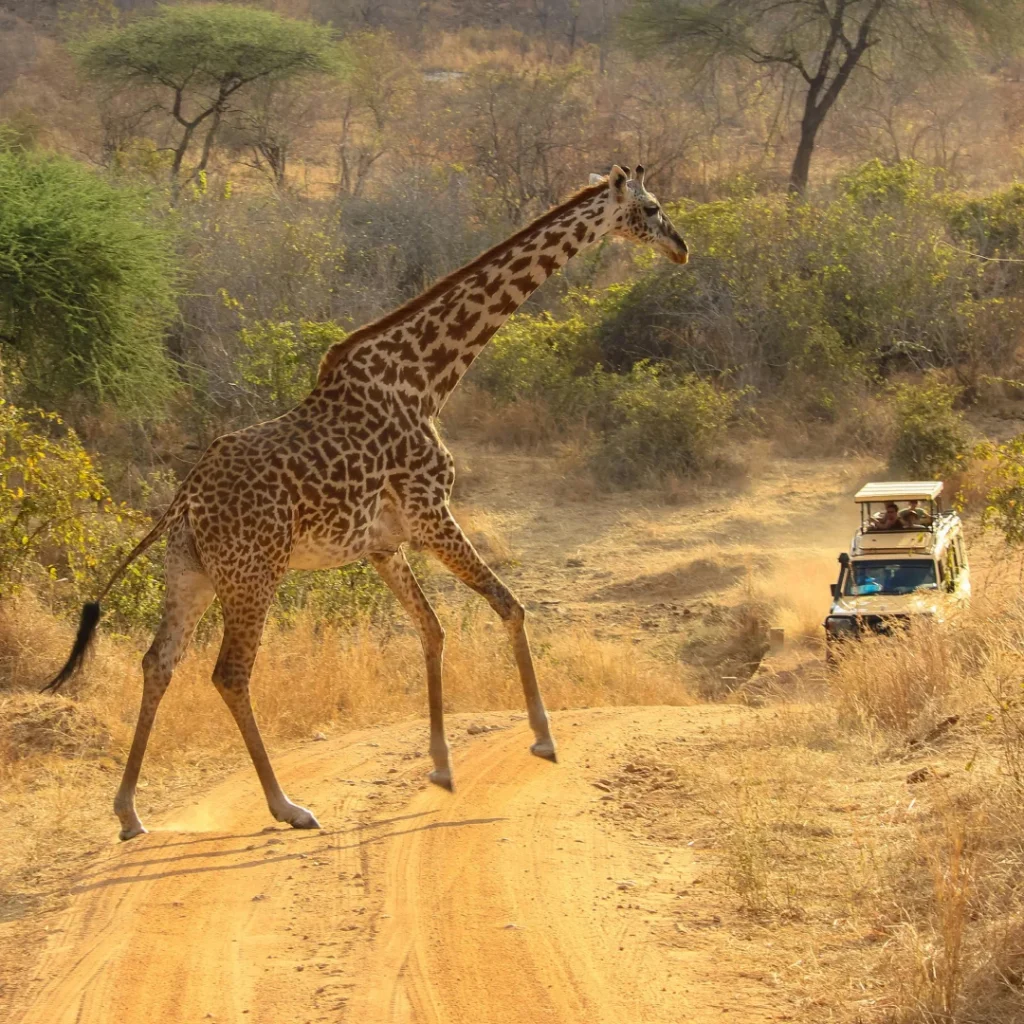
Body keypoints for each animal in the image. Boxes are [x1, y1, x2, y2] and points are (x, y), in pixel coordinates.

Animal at [44, 163, 692, 835]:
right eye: (651, 207)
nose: (681, 248)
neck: (427, 379)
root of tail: (186, 495)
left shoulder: (384, 545)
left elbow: (432, 630)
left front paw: (442, 768)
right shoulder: (432, 514)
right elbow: (509, 607)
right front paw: (543, 741)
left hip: (190, 571)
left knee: (158, 661)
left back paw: (128, 811)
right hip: (253, 573)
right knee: (229, 673)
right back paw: (287, 806)